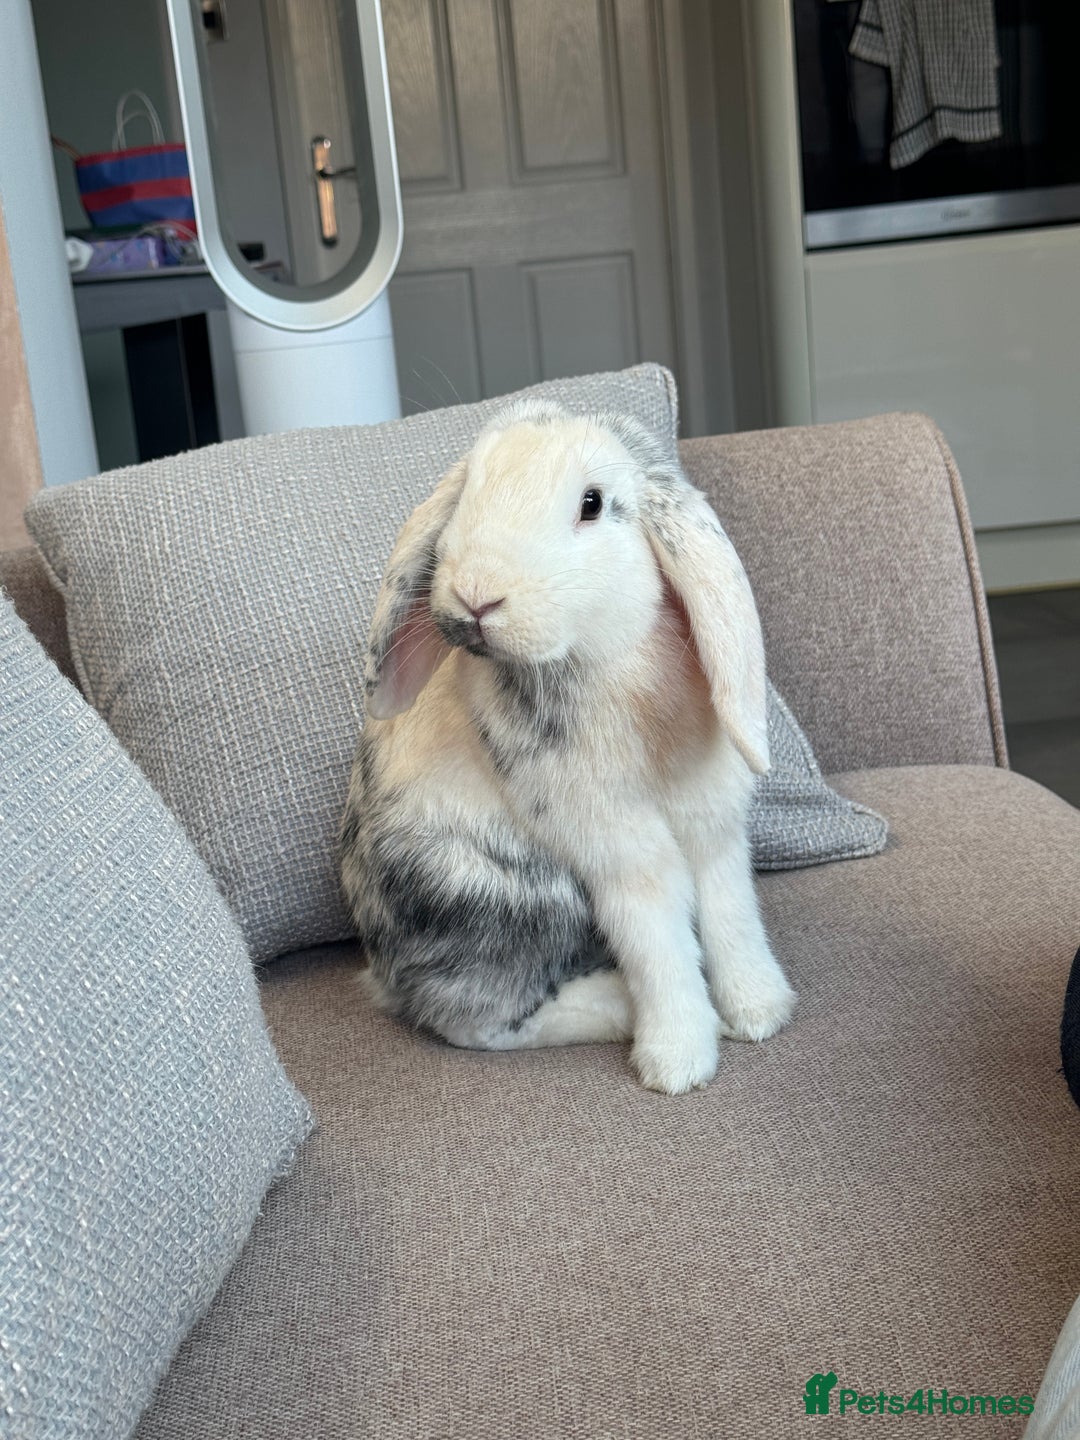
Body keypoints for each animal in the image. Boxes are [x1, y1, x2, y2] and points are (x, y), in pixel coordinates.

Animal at [339, 400, 796, 1094]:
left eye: (592, 503)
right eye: (469, 491)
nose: (477, 596)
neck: (612, 661)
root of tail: (381, 967)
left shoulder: (712, 819)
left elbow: (729, 906)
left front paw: (760, 1011)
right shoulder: (611, 840)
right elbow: (656, 929)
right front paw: (678, 1061)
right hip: (504, 903)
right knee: (474, 1019)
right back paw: (615, 1005)